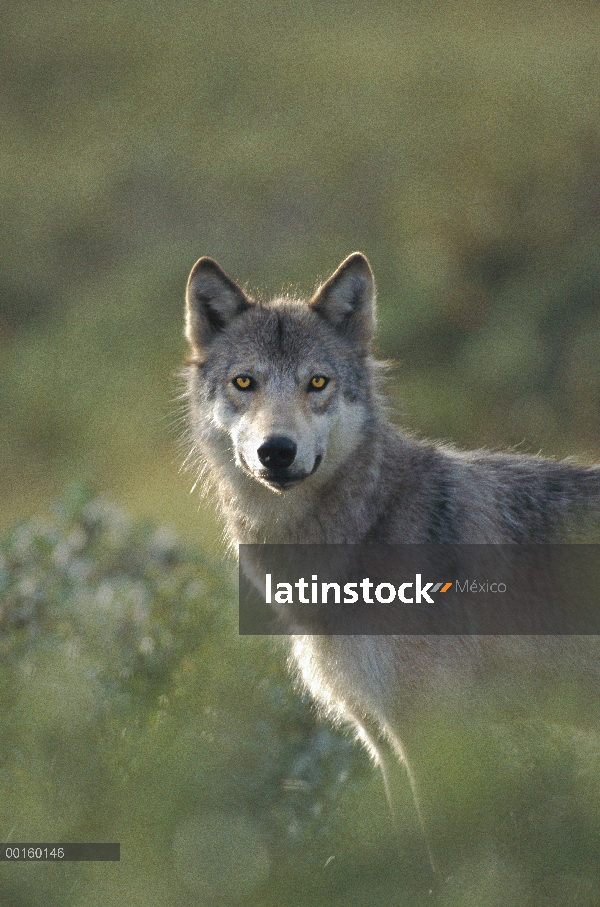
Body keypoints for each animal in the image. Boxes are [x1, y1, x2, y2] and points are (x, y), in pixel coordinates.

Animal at [180, 252, 600, 876]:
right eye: (244, 382)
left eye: (317, 383)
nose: (276, 451)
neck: (362, 535)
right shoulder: (378, 736)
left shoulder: (429, 735)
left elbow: (442, 857)